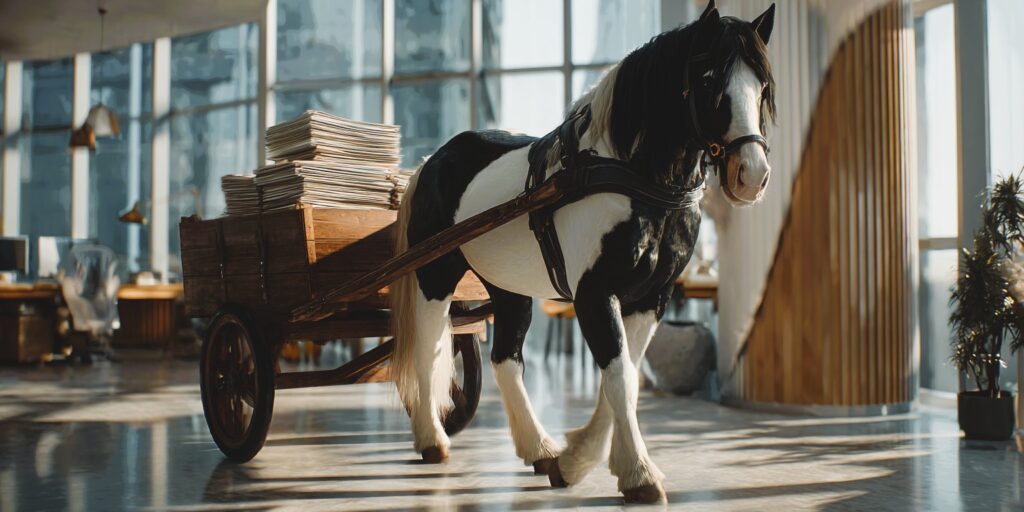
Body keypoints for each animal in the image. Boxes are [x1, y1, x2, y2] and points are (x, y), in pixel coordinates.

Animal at [390, 1, 776, 504]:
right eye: (709, 79)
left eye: (763, 86)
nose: (751, 174)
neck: (634, 177)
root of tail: (429, 162)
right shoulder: (595, 293)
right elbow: (620, 378)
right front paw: (638, 473)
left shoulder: (651, 297)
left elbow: (625, 376)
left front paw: (577, 461)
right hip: (434, 274)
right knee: (430, 349)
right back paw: (431, 437)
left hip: (509, 288)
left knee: (505, 359)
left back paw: (538, 447)